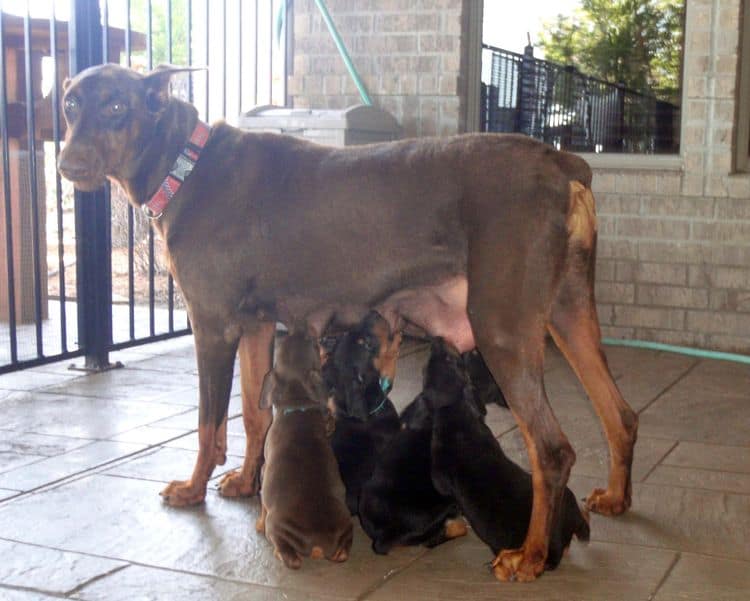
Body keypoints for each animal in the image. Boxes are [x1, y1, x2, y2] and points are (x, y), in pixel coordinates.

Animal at [258, 328, 354, 568]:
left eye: (310, 340)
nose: (299, 328)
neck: (297, 404)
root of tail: (318, 542)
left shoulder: (263, 471)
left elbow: (261, 505)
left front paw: (258, 525)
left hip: (277, 527)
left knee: (290, 558)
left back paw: (279, 552)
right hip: (347, 524)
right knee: (343, 553)